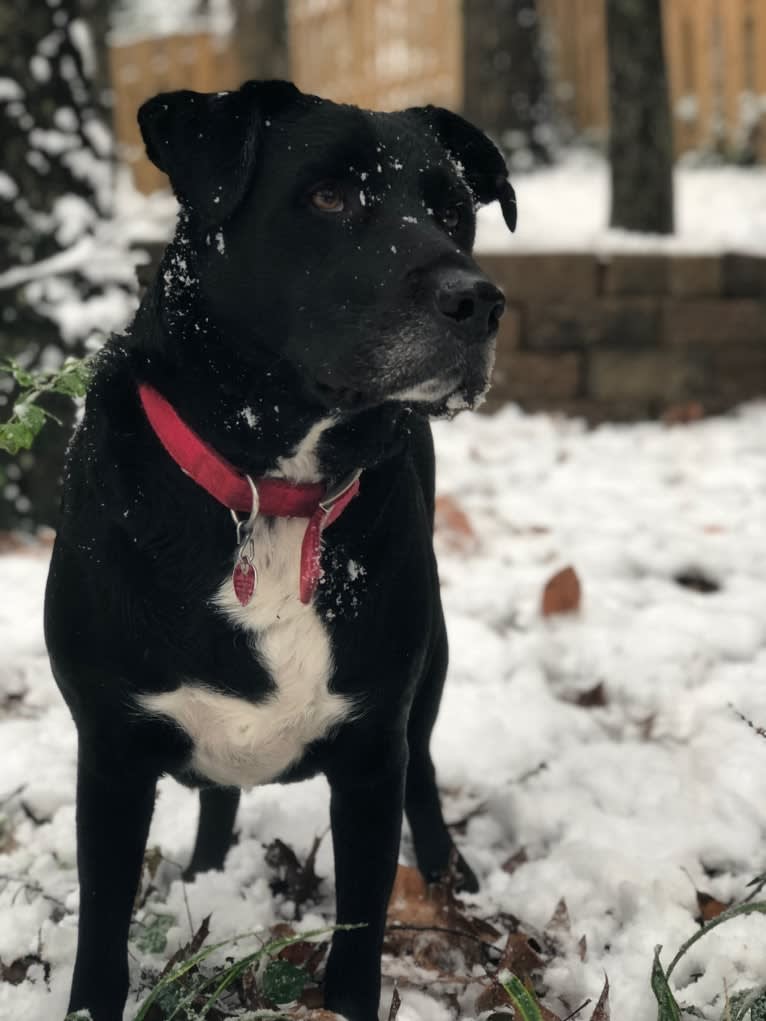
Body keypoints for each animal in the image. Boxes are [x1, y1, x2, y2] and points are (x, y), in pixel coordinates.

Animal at [46, 79, 516, 1021]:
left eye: (453, 211)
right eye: (328, 197)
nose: (479, 301)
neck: (273, 494)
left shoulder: (371, 752)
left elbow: (360, 942)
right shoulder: (111, 752)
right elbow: (101, 944)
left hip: (429, 670)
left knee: (426, 770)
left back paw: (449, 874)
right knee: (219, 796)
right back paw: (206, 873)